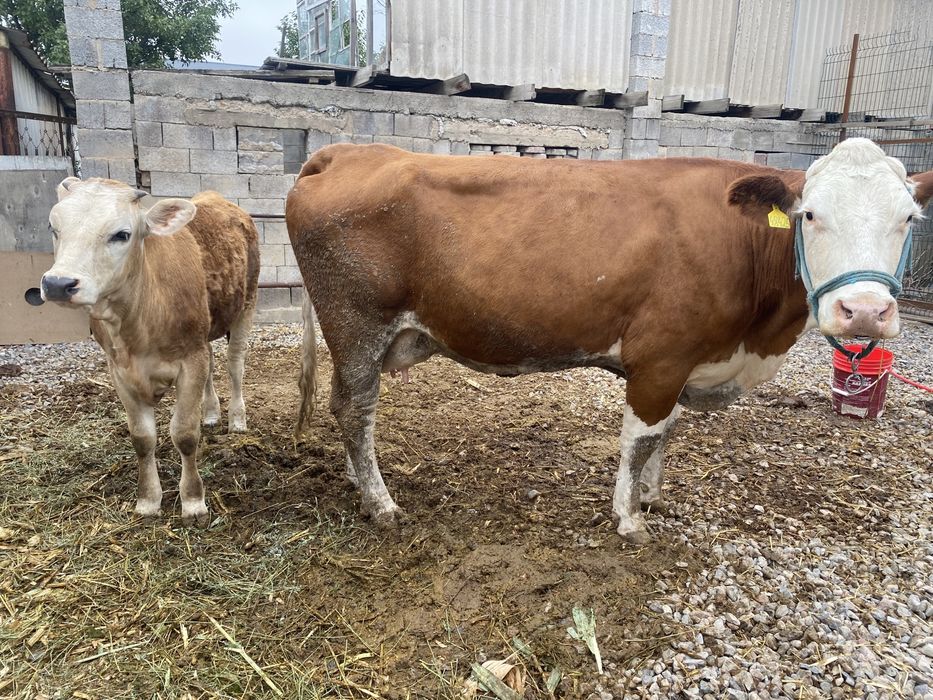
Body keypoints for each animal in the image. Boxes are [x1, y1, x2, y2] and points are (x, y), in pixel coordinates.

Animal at [41, 178, 259, 525]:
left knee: (234, 363)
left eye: (122, 234)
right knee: (213, 363)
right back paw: (211, 413)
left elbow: (184, 433)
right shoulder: (119, 370)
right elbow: (142, 438)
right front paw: (148, 501)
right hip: (208, 327)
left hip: (245, 306)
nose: (58, 284)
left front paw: (193, 502)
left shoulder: (190, 360)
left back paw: (237, 419)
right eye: (54, 227)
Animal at [285, 138, 933, 544]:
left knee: (348, 408)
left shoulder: (686, 361)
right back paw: (381, 504)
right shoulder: (662, 356)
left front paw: (652, 497)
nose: (865, 312)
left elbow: (666, 431)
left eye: (908, 218)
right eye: (811, 215)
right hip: (357, 323)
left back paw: (357, 481)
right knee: (354, 408)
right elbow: (640, 439)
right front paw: (629, 518)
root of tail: (345, 152)